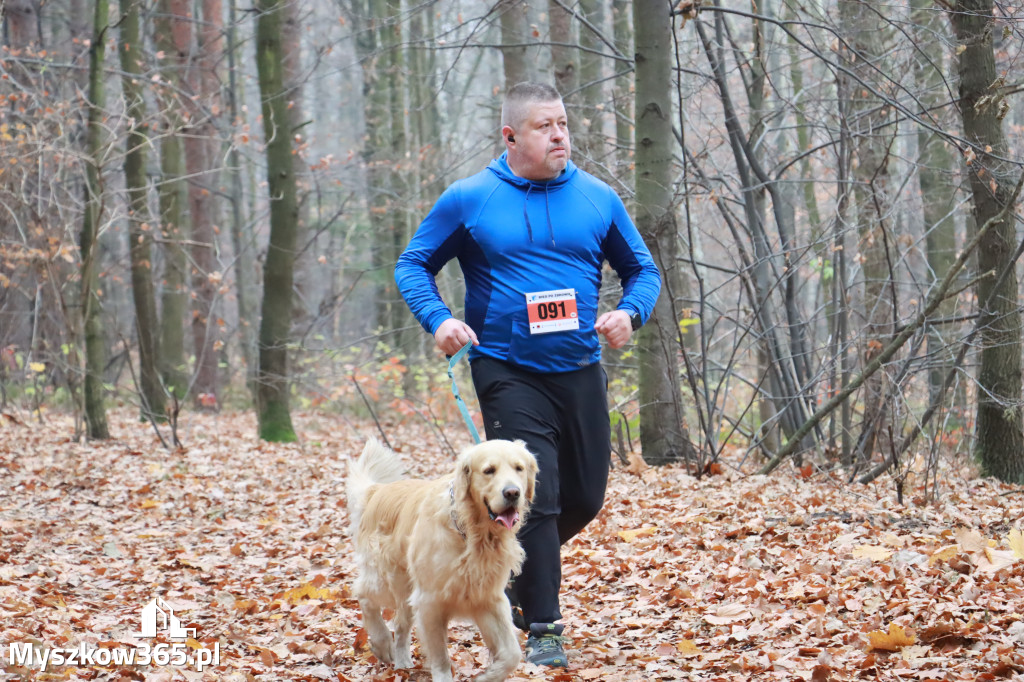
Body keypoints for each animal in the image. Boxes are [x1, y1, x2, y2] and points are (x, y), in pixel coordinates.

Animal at [346, 436, 536, 679]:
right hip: (389, 579)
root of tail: (377, 490)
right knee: (363, 594)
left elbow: (512, 654)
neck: (472, 534)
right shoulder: (429, 600)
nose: (512, 493)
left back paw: (402, 662)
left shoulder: (488, 597)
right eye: (489, 470)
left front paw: (488, 676)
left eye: (519, 468)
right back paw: (382, 643)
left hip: (406, 592)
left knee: (400, 625)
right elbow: (441, 657)